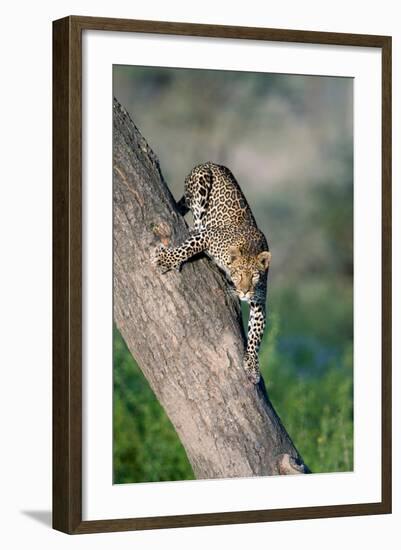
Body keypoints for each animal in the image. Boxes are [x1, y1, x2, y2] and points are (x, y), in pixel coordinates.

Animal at [152, 162, 270, 386]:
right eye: (238, 274)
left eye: (254, 276)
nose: (243, 292)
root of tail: (213, 163)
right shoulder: (209, 237)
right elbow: (186, 249)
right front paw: (166, 259)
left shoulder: (259, 301)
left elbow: (255, 336)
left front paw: (252, 366)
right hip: (201, 179)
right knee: (196, 215)